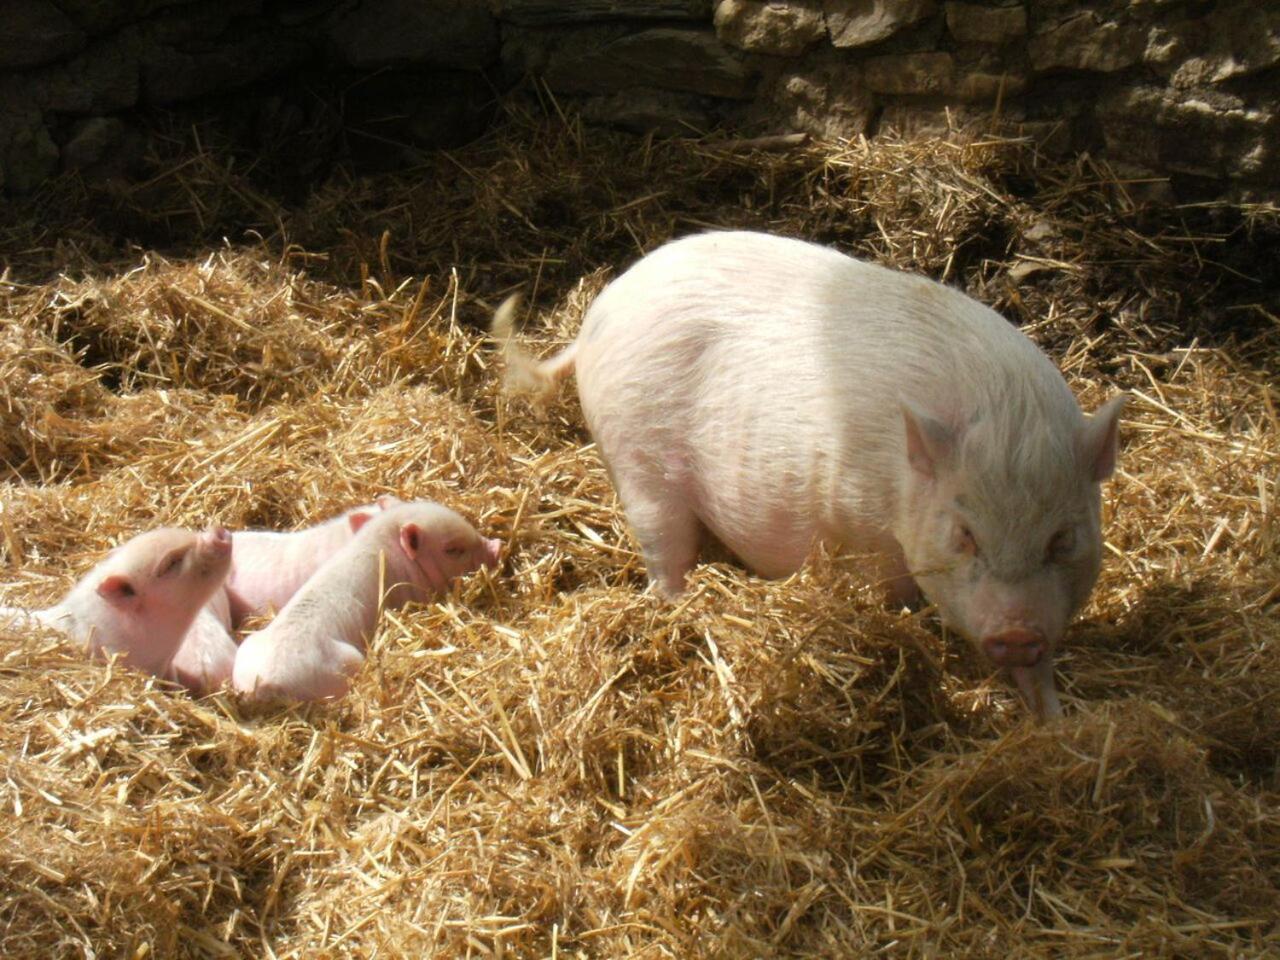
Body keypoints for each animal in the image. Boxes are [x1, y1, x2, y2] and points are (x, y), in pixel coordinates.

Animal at [494, 229, 1126, 716]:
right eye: (965, 534)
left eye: (1062, 538)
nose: (1017, 634)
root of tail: (598, 316)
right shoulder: (857, 524)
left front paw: (1055, 722)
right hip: (636, 459)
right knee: (662, 551)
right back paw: (683, 609)